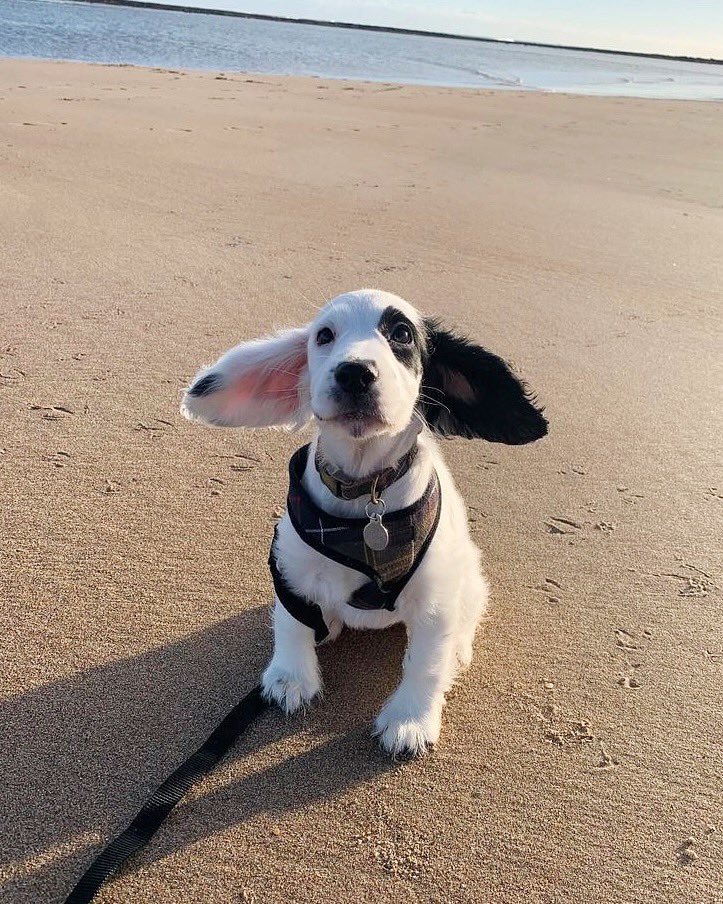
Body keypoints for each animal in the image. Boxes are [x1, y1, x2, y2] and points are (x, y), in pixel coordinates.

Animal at [182, 290, 548, 756]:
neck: (365, 498)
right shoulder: (291, 568)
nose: (355, 372)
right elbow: (290, 621)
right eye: (324, 335)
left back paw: (458, 650)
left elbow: (426, 663)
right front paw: (290, 677)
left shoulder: (436, 598)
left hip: (469, 577)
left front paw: (410, 719)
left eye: (402, 333)